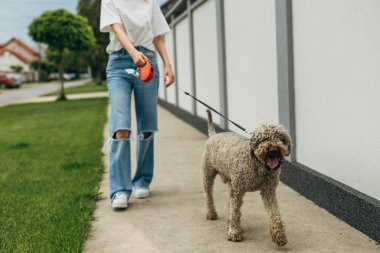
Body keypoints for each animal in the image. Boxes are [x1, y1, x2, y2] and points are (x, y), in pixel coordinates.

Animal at [202, 109, 290, 246]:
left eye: (281, 138)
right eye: (263, 139)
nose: (274, 151)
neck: (258, 166)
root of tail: (213, 135)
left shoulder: (269, 191)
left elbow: (274, 213)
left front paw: (279, 235)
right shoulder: (238, 191)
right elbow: (235, 211)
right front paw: (234, 232)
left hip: (231, 183)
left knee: (229, 203)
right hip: (208, 175)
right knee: (209, 197)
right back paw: (212, 214)